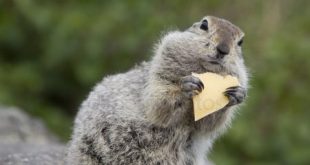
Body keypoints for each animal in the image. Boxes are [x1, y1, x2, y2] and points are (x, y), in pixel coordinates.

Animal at [66, 15, 249, 165]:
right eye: (204, 25)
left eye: (240, 42)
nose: (223, 49)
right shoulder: (158, 74)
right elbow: (158, 102)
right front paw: (185, 86)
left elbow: (207, 124)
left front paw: (236, 95)